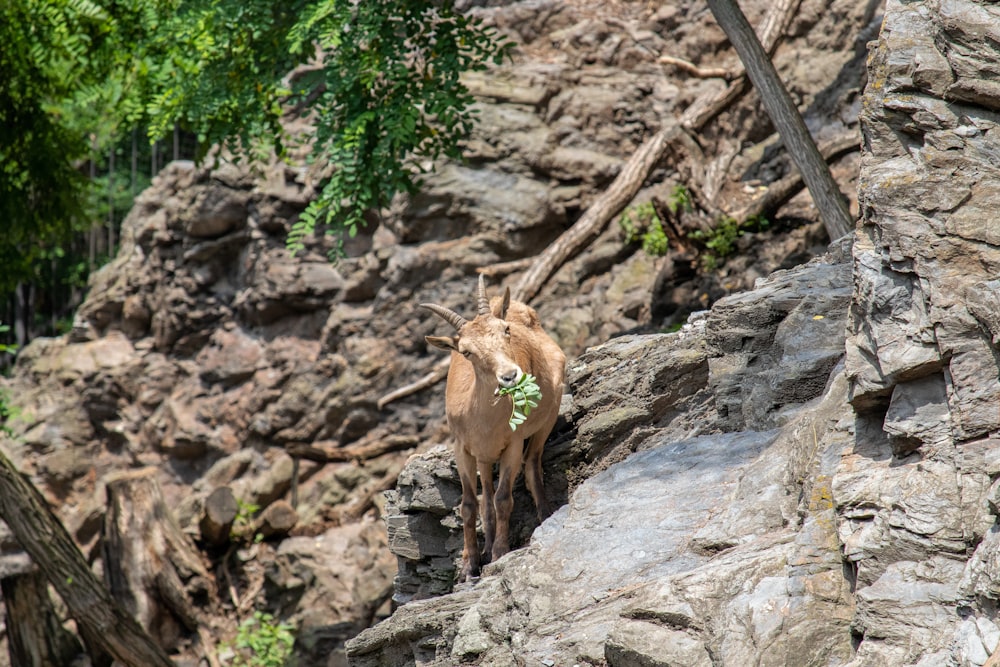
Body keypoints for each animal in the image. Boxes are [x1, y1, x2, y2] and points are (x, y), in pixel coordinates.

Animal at [418, 274, 568, 580]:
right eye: (466, 352)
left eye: (506, 330)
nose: (510, 376)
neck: (483, 421)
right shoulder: (462, 449)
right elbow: (469, 504)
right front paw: (469, 565)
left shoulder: (513, 444)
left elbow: (503, 499)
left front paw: (500, 553)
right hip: (485, 458)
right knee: (485, 497)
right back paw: (485, 547)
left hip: (546, 420)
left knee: (532, 465)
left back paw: (544, 514)